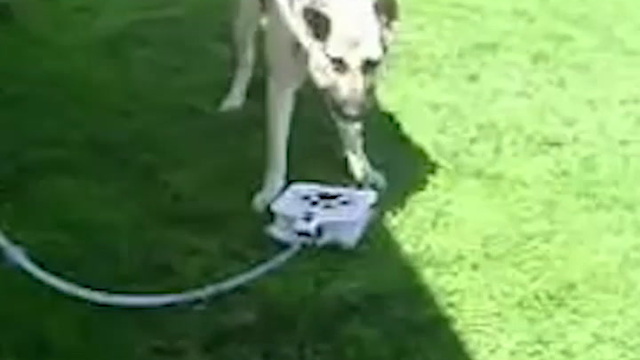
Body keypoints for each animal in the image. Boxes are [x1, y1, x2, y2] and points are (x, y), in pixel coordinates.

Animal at [220, 0, 400, 211]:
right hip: (245, 20)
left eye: (371, 64)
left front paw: (364, 170)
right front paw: (271, 191)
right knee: (245, 60)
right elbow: (277, 152)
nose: (354, 113)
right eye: (336, 62)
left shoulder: (345, 97)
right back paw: (234, 98)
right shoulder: (282, 85)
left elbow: (353, 137)